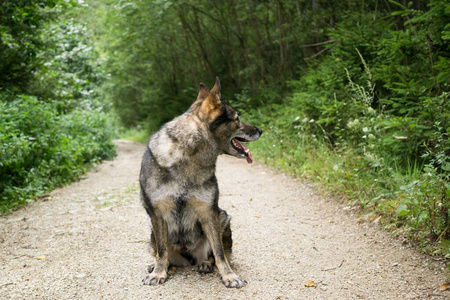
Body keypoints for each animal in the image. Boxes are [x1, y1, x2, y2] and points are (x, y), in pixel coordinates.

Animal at [139, 76, 262, 288]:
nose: (260, 130)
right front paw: (158, 272)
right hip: (152, 230)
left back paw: (205, 263)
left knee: (213, 254)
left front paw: (229, 276)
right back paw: (156, 265)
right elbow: (162, 251)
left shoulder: (209, 212)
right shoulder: (157, 214)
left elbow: (220, 253)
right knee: (162, 254)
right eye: (237, 118)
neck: (188, 155)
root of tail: (188, 259)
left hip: (223, 217)